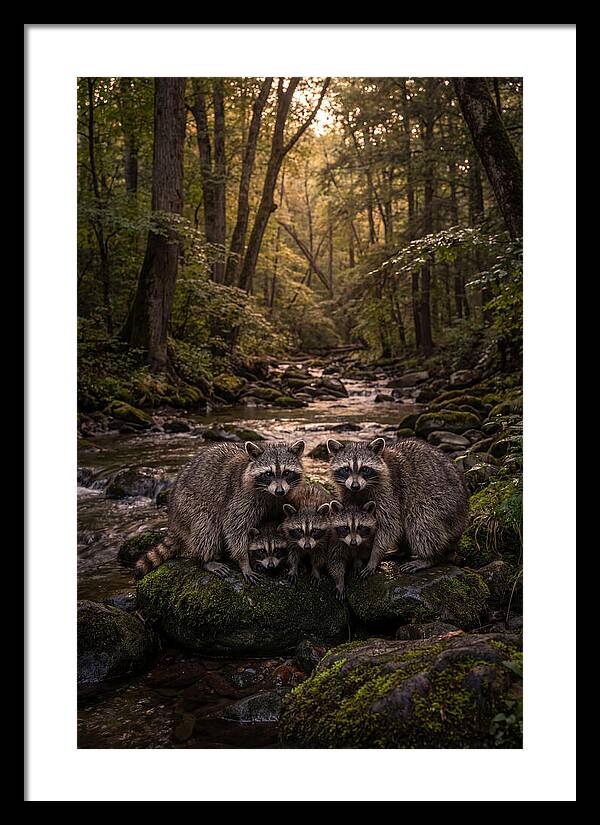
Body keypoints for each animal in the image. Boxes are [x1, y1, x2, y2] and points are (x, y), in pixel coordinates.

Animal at [135, 439, 305, 583]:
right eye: (268, 474)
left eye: (286, 472)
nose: (280, 491)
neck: (270, 494)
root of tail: (173, 518)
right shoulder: (241, 498)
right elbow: (235, 529)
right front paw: (244, 561)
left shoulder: (283, 499)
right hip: (188, 504)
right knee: (206, 527)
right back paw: (206, 560)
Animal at [327, 436, 468, 576]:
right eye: (346, 469)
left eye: (365, 469)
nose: (355, 486)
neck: (361, 490)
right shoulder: (347, 492)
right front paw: (358, 554)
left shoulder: (389, 490)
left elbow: (389, 525)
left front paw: (374, 556)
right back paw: (402, 550)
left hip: (443, 503)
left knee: (421, 521)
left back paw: (429, 557)